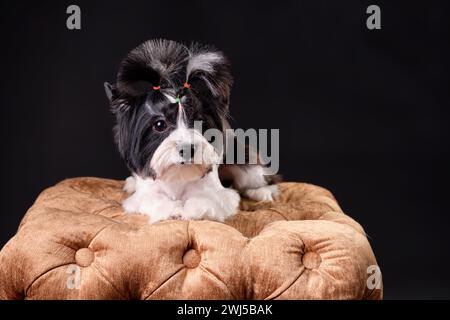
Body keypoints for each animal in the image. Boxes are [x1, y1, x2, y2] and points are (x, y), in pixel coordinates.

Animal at [106, 39, 282, 222]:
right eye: (160, 125)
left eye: (199, 121)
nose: (187, 149)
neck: (178, 176)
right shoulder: (144, 195)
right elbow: (153, 198)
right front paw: (173, 209)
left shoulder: (220, 193)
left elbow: (208, 199)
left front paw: (192, 209)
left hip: (244, 165)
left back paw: (262, 191)